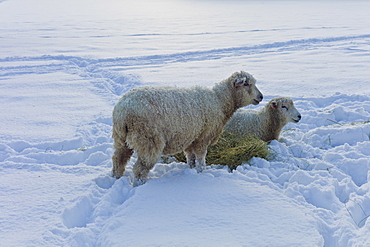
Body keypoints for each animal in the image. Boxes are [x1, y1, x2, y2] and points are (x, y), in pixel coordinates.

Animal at [112, 71, 264, 183]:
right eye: (246, 84)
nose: (261, 97)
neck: (220, 101)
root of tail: (123, 111)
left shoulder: (191, 138)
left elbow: (191, 158)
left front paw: (191, 170)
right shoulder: (203, 138)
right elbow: (201, 159)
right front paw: (201, 172)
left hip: (121, 139)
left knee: (118, 160)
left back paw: (115, 178)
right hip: (148, 140)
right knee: (140, 168)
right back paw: (139, 184)